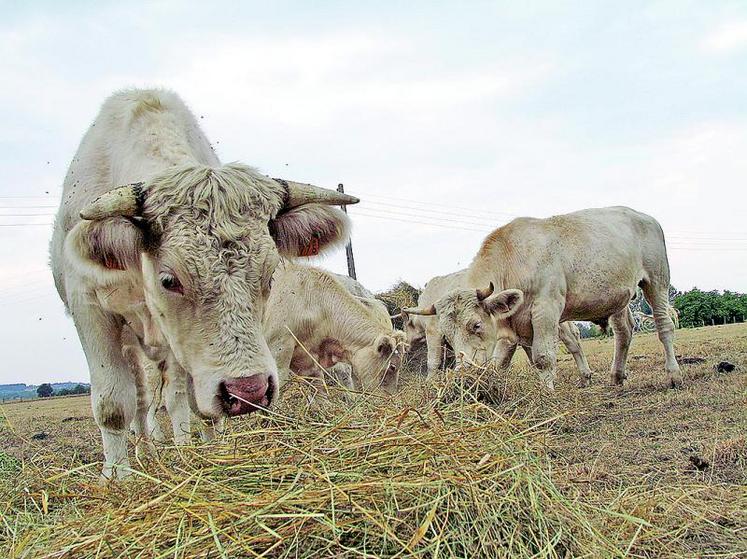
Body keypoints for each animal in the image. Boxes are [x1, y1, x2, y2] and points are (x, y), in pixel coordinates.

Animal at [50, 89, 360, 480]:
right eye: (169, 280)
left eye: (270, 274)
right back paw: (145, 451)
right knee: (141, 400)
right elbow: (113, 404)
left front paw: (203, 452)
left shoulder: (182, 346)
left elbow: (187, 401)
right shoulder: (89, 308)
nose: (248, 391)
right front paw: (118, 477)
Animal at [406, 208, 680, 392]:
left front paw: (546, 392)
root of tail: (645, 217)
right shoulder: (510, 328)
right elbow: (499, 363)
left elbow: (543, 357)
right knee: (624, 331)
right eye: (447, 336)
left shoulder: (546, 310)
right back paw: (617, 375)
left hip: (657, 280)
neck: (513, 260)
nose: (464, 374)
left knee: (663, 326)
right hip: (617, 298)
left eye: (476, 325)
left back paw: (674, 374)